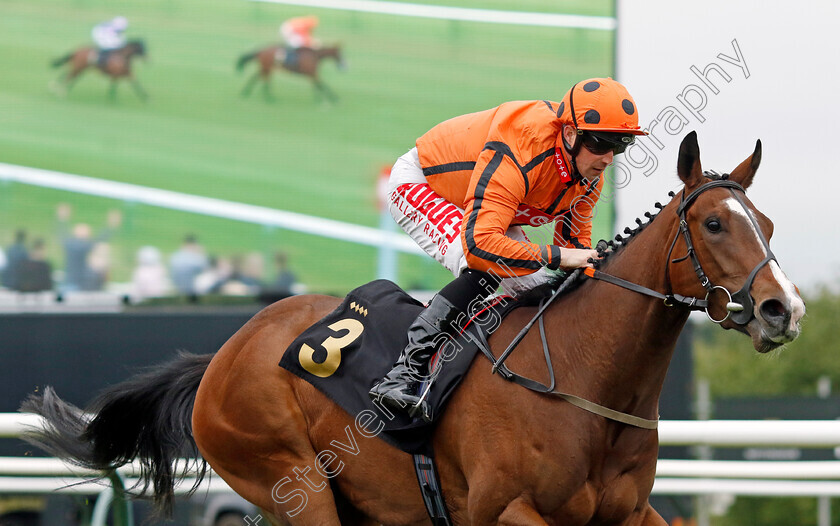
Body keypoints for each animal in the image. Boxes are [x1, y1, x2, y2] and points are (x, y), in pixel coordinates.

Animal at [23, 133, 804, 526]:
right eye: (713, 224)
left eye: (766, 224)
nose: (783, 308)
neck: (586, 382)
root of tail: (222, 355)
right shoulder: (506, 514)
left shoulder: (630, 518)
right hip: (293, 484)